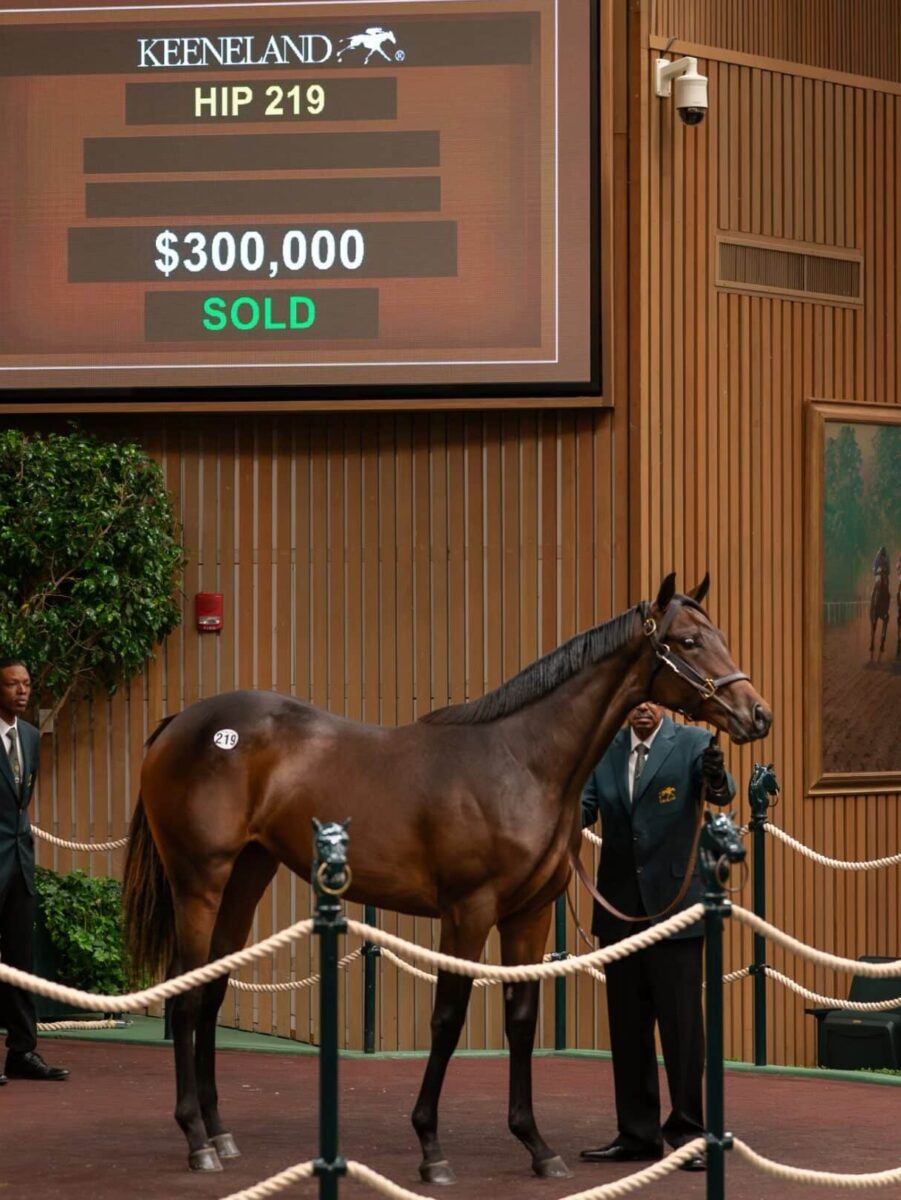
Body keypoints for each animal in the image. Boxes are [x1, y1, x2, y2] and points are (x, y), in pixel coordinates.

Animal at [119, 573, 772, 1180]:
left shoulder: (528, 915)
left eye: (719, 636)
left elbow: (521, 1019)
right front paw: (431, 1148)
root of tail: (181, 724)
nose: (757, 714)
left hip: (246, 877)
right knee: (184, 994)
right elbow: (448, 1018)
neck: (521, 761)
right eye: (688, 641)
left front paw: (537, 1146)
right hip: (199, 881)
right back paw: (197, 1141)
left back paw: (219, 1132)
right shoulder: (468, 911)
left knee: (210, 989)